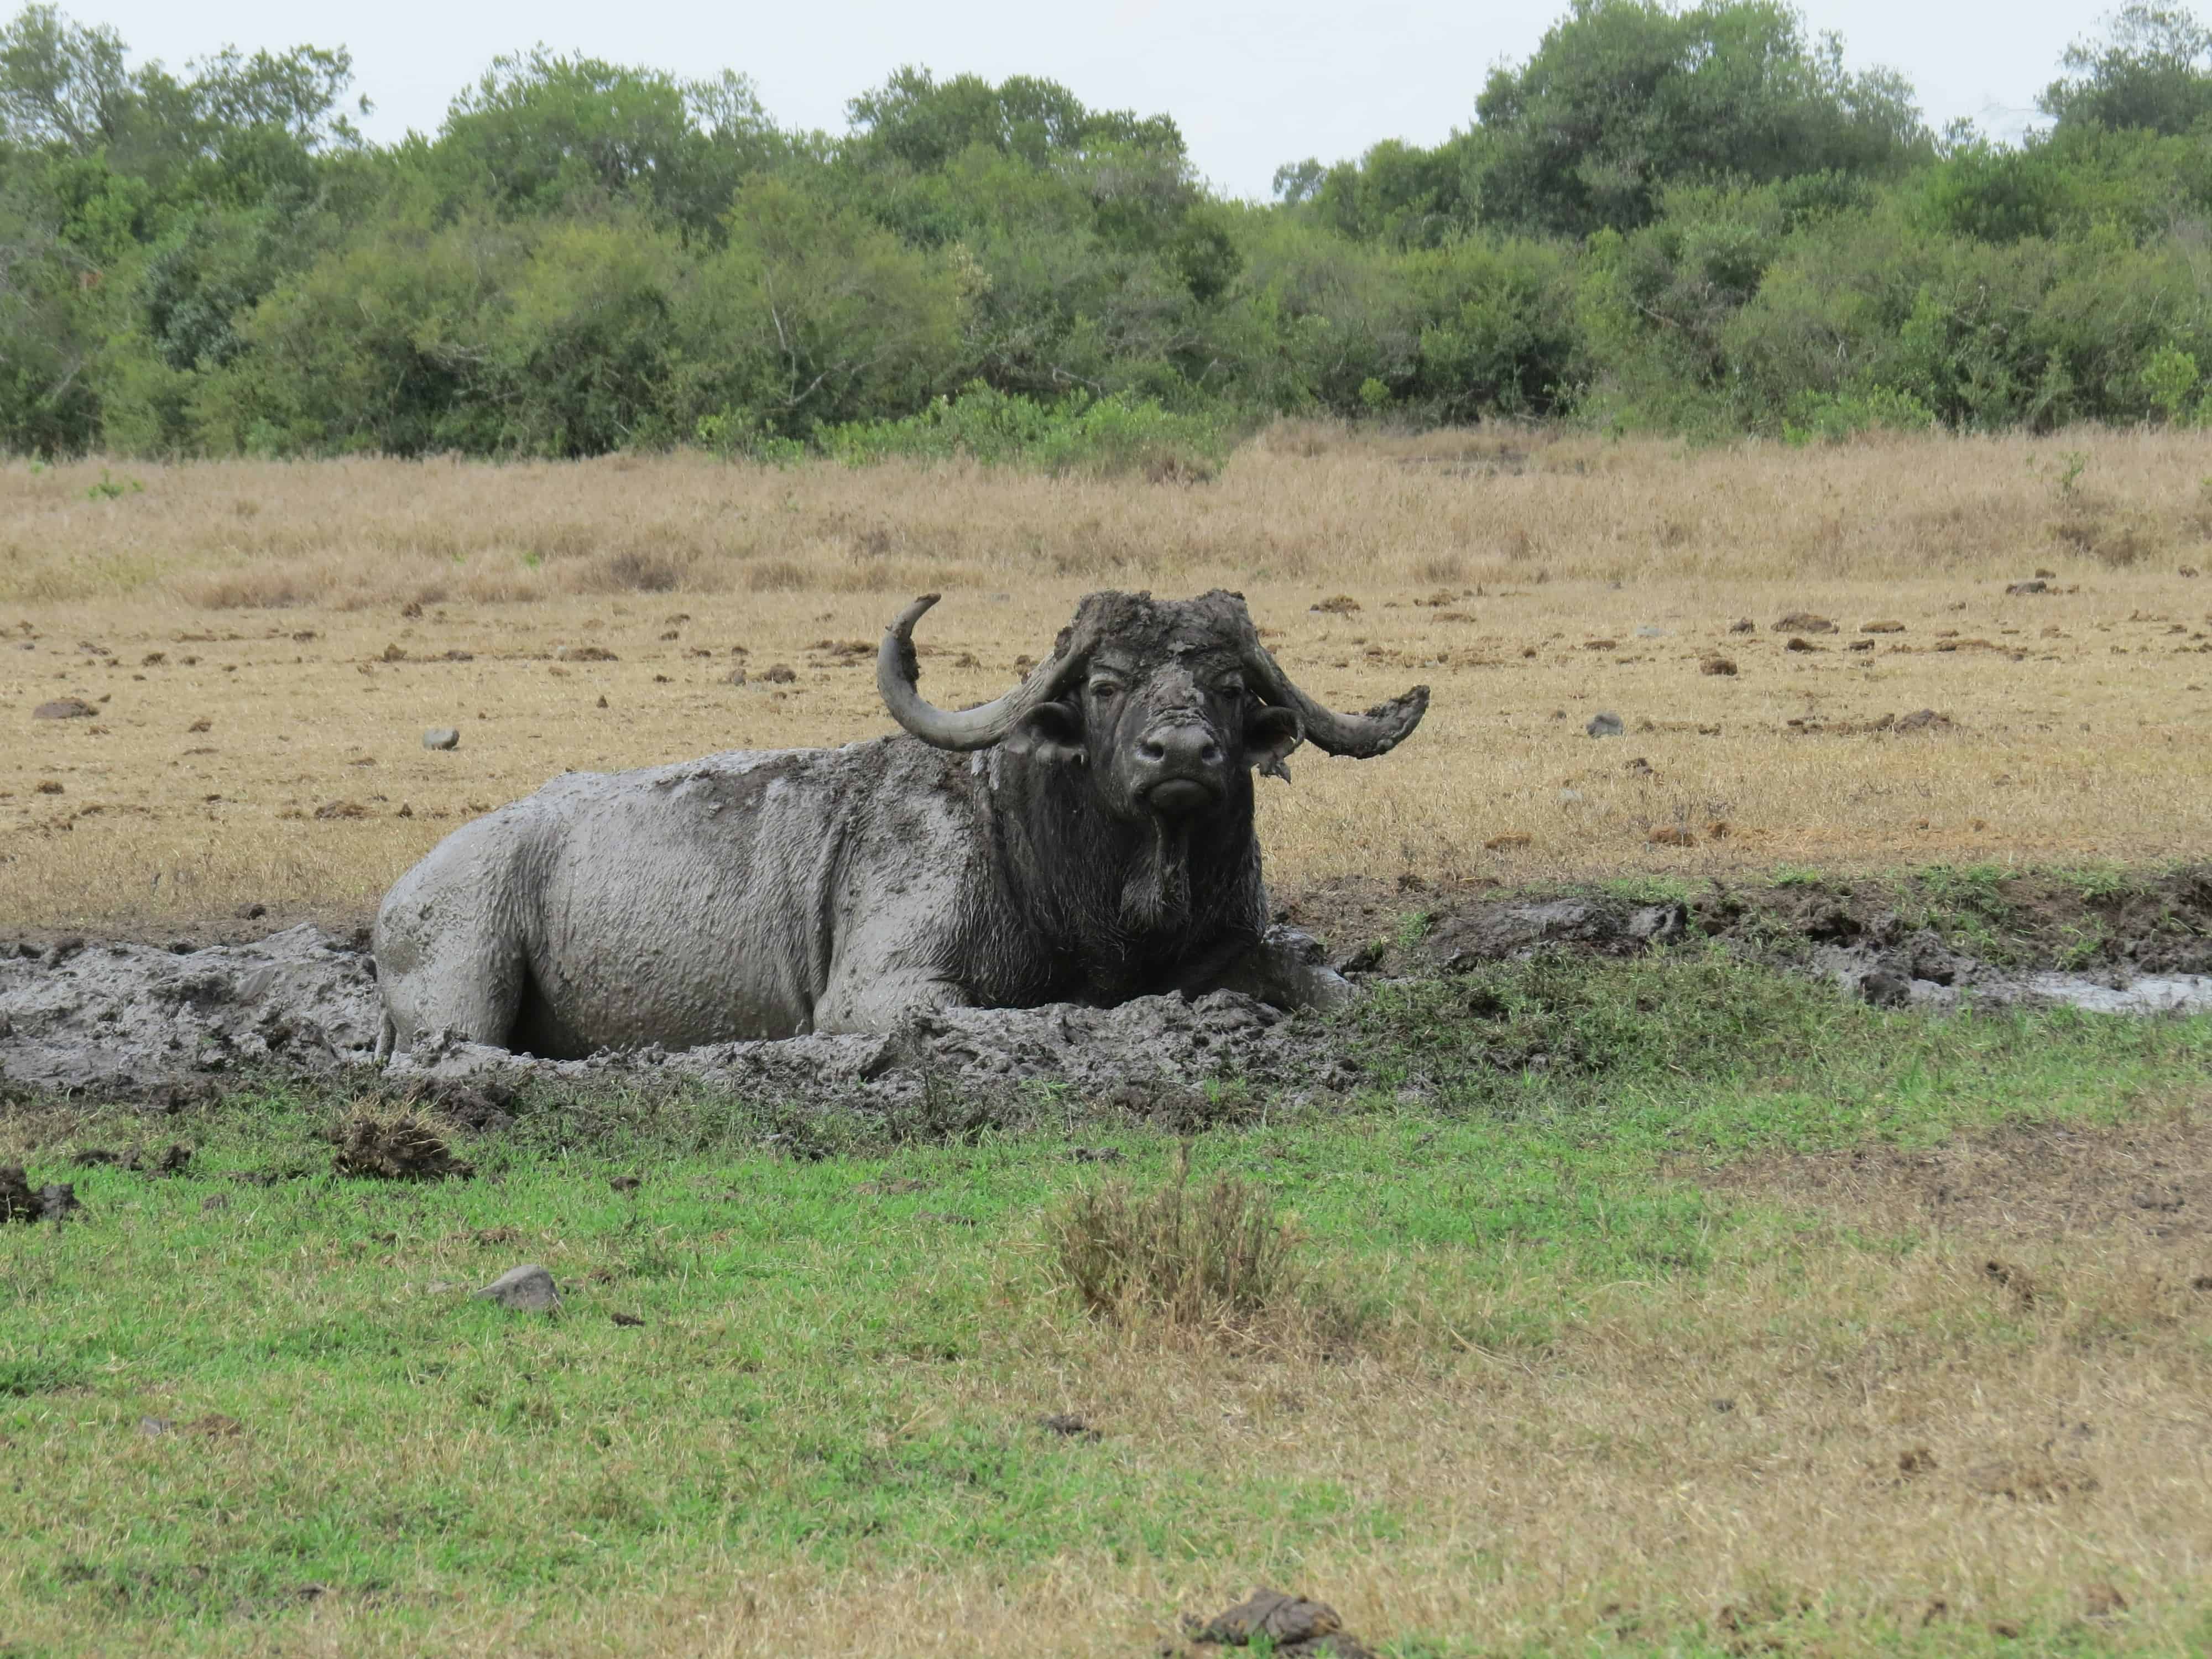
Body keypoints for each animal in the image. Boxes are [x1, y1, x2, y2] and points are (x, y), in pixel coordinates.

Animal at [373, 589, 1427, 1058]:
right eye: (1107, 684)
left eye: (1228, 687)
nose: (1181, 756)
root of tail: (402, 894)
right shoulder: (878, 995)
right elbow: (1043, 1011)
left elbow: (1314, 981)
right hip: (460, 986)